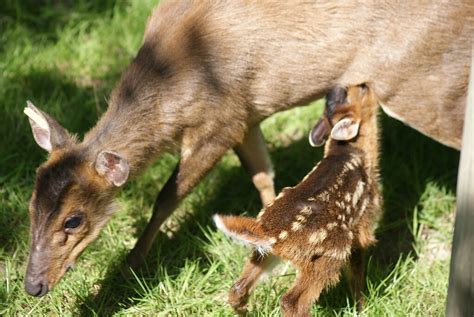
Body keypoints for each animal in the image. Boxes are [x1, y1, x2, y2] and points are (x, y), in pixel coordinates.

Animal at [215, 85, 382, 314]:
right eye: (362, 89)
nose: (368, 84)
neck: (352, 152)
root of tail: (270, 232)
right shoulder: (363, 224)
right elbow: (357, 271)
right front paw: (361, 307)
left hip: (267, 252)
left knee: (237, 289)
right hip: (329, 255)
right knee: (291, 301)